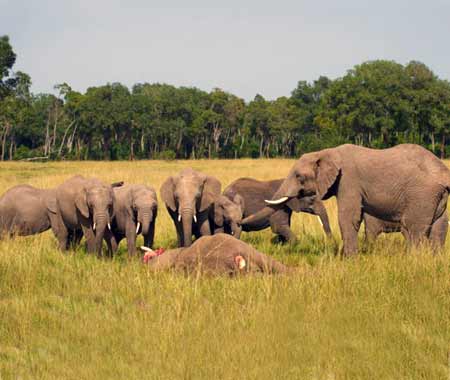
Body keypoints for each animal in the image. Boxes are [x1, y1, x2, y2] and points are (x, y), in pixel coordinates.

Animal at [243, 144, 450, 256]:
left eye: (299, 176)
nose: (332, 246)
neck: (326, 152)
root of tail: (444, 172)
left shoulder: (349, 180)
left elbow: (348, 217)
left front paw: (349, 259)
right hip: (436, 197)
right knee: (438, 225)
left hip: (422, 194)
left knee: (414, 228)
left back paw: (414, 260)